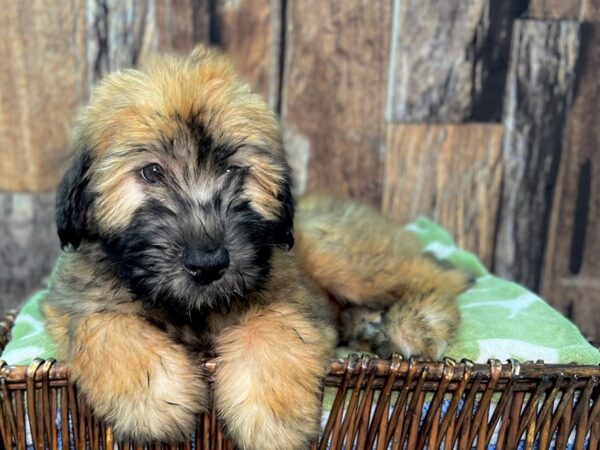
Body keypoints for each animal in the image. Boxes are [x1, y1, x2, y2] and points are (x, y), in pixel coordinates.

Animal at [42, 45, 472, 450]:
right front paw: (155, 400)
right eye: (151, 171)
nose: (208, 263)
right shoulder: (73, 301)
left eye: (234, 171)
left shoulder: (290, 293)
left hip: (342, 255)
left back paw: (415, 326)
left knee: (434, 278)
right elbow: (101, 325)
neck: (191, 310)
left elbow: (274, 328)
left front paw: (271, 419)